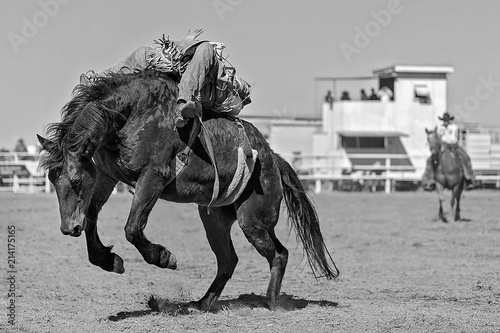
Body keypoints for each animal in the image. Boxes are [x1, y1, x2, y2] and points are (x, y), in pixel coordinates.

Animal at [37, 70, 338, 312]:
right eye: (52, 179)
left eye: (76, 180)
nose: (68, 228)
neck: (132, 114)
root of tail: (272, 157)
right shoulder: (107, 177)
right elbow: (91, 219)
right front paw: (109, 260)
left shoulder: (153, 177)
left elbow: (133, 227)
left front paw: (164, 257)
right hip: (215, 219)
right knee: (229, 260)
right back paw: (202, 303)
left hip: (253, 220)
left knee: (278, 254)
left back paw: (272, 303)